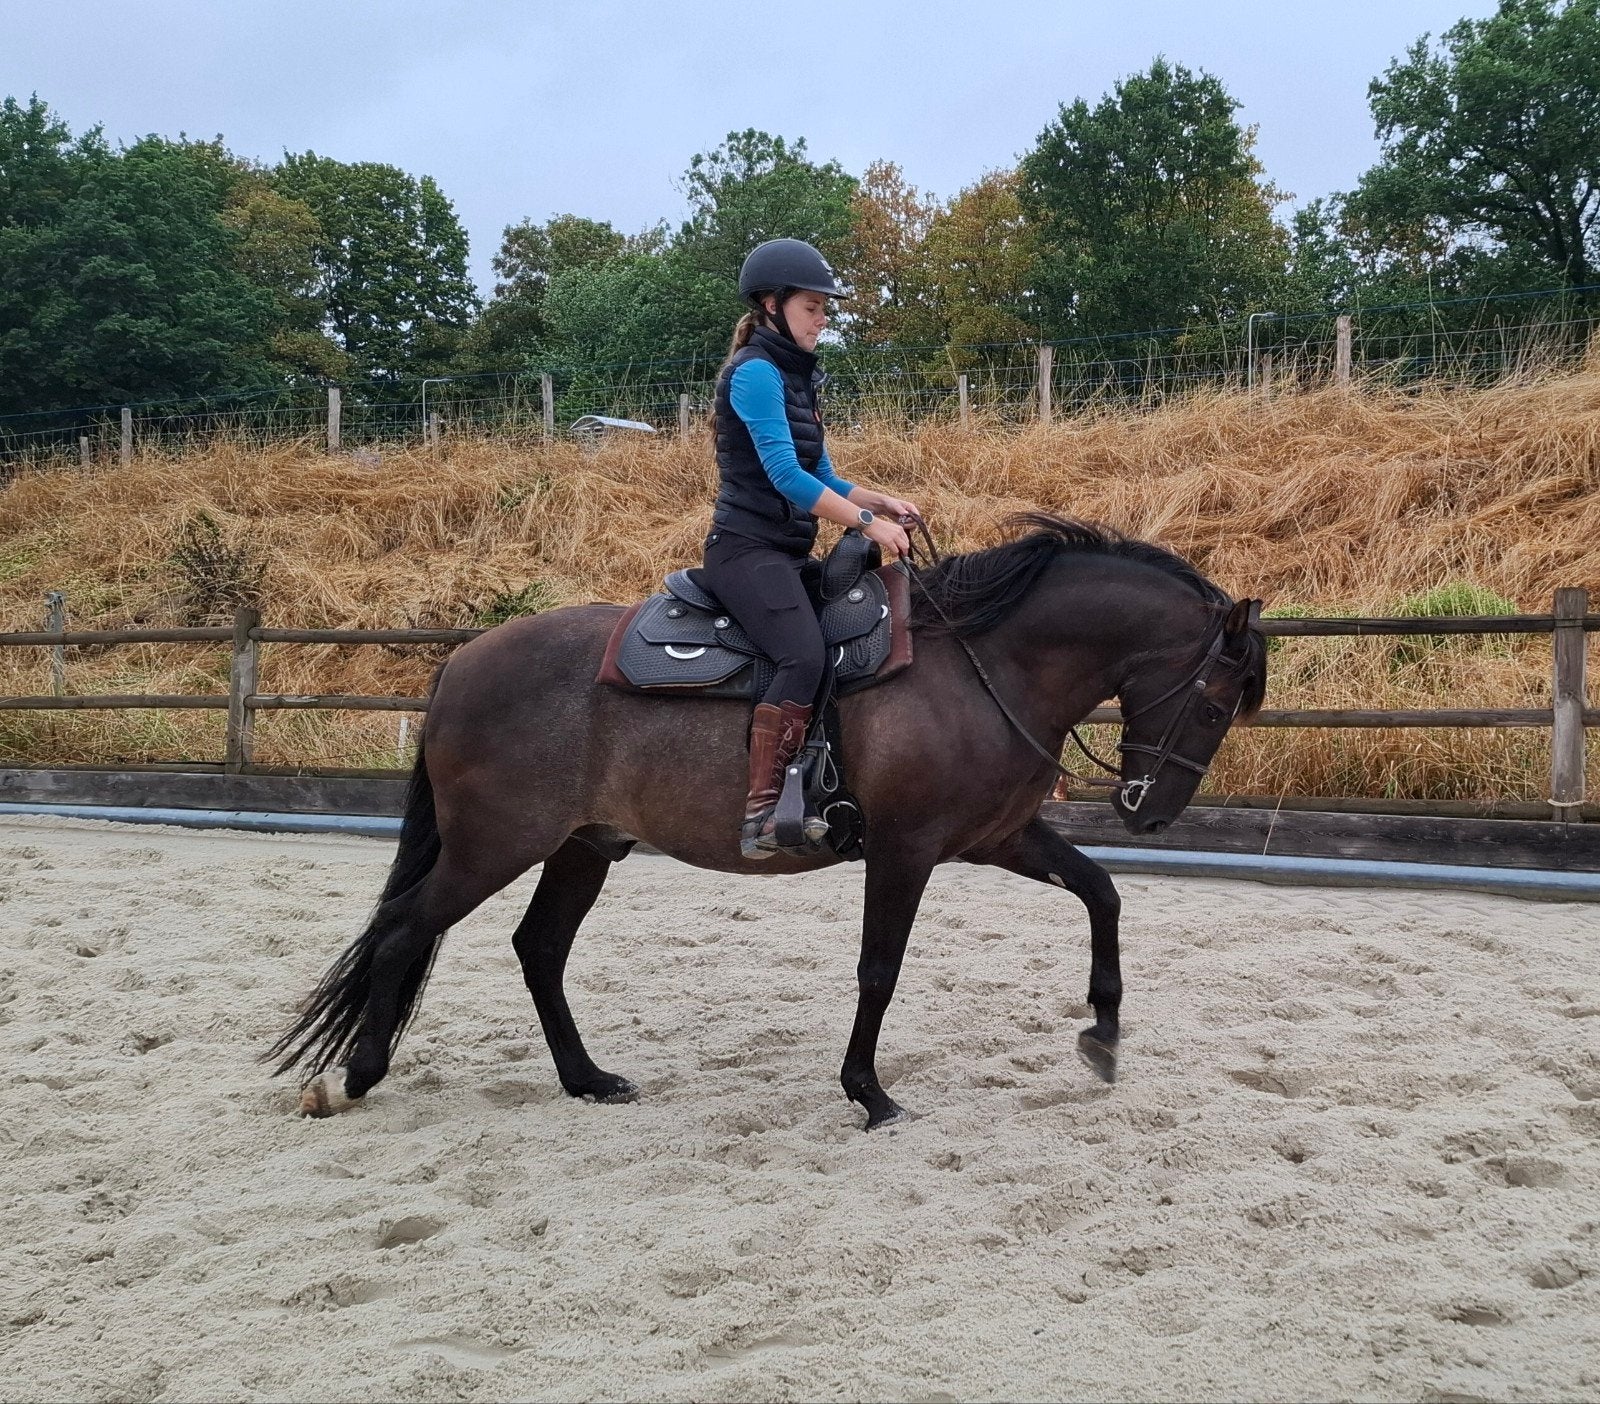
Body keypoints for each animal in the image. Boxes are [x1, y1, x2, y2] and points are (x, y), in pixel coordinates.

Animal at [269, 515, 1267, 1130]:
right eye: (1216, 704)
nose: (1152, 811)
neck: (986, 663)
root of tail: (462, 662)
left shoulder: (995, 840)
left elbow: (1101, 893)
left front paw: (1103, 1033)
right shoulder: (904, 851)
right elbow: (878, 970)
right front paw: (869, 1093)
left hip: (580, 848)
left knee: (537, 948)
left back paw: (587, 1080)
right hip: (493, 846)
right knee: (404, 927)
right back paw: (356, 1075)